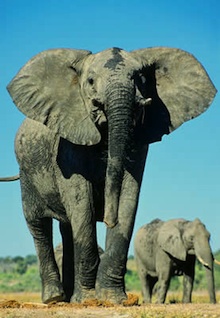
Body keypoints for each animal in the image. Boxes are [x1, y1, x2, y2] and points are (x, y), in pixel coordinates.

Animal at [6, 46, 217, 304]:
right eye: (90, 81)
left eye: (141, 79)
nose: (108, 218)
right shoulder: (67, 143)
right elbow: (82, 202)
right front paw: (88, 300)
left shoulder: (139, 139)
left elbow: (128, 194)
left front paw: (113, 298)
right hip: (26, 172)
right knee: (38, 224)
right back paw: (55, 298)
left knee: (67, 228)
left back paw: (68, 297)